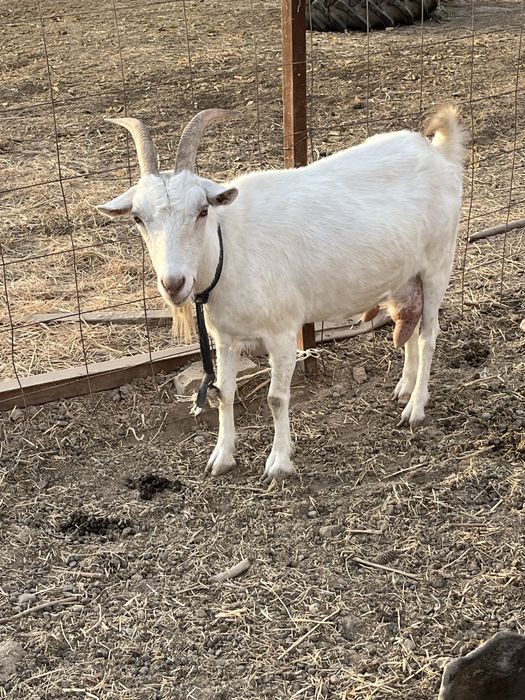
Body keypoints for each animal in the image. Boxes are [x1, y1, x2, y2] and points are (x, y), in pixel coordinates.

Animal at [97, 106, 465, 482]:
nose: (174, 283)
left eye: (202, 210)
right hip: (406, 276)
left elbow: (276, 398)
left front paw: (278, 462)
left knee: (428, 335)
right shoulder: (226, 338)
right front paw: (221, 457)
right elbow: (223, 394)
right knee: (409, 324)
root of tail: (437, 153)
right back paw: (404, 387)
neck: (228, 247)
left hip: (438, 264)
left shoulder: (282, 331)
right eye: (138, 218)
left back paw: (415, 408)